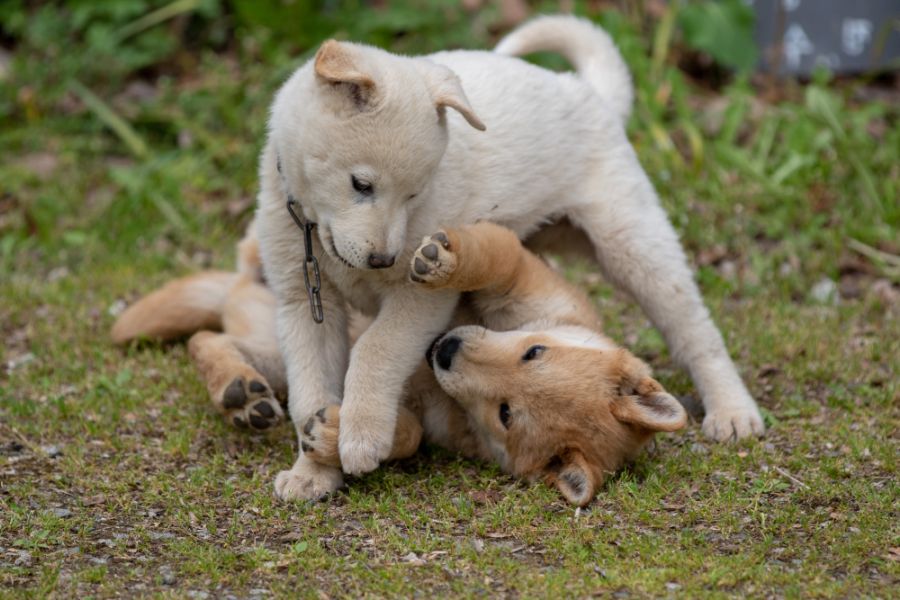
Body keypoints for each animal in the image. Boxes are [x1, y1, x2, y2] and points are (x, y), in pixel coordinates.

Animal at [116, 223, 684, 504]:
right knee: (209, 329)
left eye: (506, 413)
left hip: (275, 355)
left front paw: (334, 432)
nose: (444, 351)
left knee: (207, 336)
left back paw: (240, 394)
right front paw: (444, 259)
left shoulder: (432, 426)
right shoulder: (524, 277)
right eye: (534, 351)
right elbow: (494, 253)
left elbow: (404, 435)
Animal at [255, 16, 768, 500]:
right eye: (361, 185)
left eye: (415, 195)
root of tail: (585, 90)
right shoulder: (303, 303)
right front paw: (313, 472)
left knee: (695, 329)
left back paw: (732, 410)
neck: (313, 231)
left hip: (632, 243)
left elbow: (376, 348)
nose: (383, 259)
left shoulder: (419, 299)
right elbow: (310, 391)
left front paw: (361, 433)